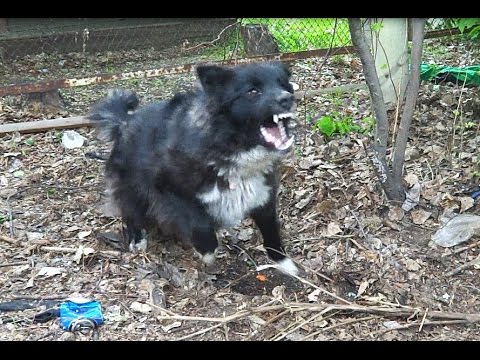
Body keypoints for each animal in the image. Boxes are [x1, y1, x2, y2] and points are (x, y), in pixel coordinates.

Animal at [86, 62, 296, 276]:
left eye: (283, 84)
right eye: (252, 91)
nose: (287, 98)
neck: (226, 146)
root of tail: (125, 123)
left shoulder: (263, 196)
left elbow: (271, 232)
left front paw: (283, 262)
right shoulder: (169, 191)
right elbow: (201, 226)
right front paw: (207, 253)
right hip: (133, 190)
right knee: (130, 213)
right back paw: (137, 240)